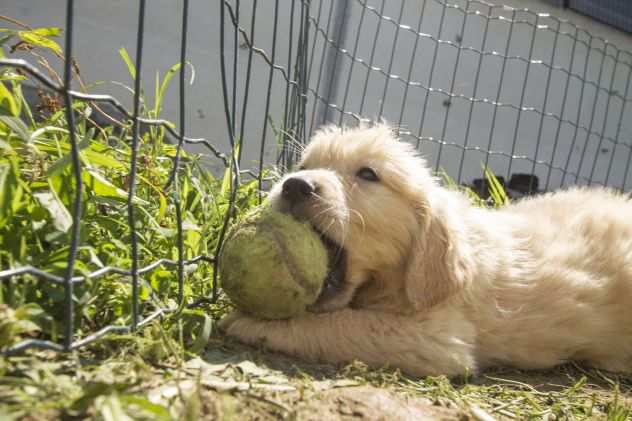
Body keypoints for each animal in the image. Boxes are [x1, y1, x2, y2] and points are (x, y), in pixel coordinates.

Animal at [220, 123, 632, 376]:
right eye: (305, 164)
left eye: (368, 174)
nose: (294, 185)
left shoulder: (439, 338)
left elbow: (340, 323)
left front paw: (250, 322)